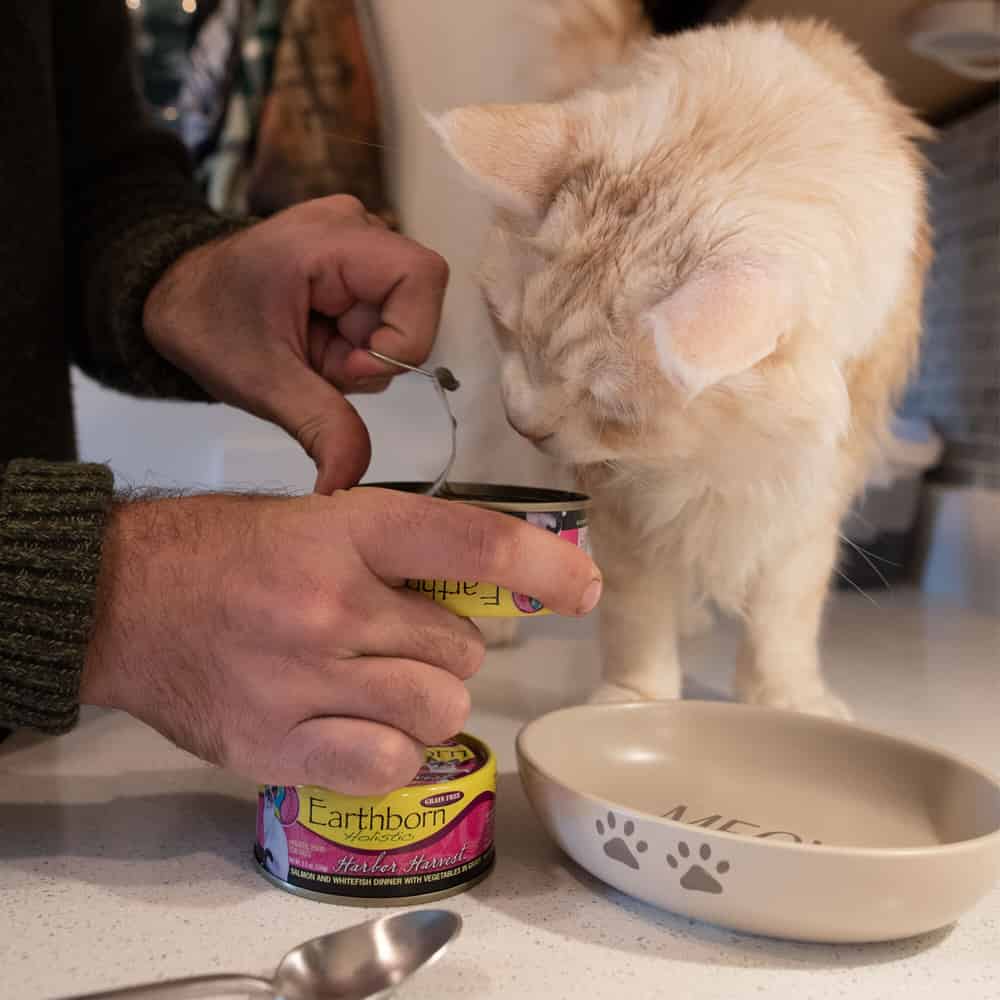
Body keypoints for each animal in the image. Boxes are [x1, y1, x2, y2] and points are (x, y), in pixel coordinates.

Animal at [433, 18, 931, 717]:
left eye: (616, 411)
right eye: (508, 330)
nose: (525, 423)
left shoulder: (808, 492)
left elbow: (784, 617)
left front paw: (786, 698)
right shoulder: (619, 498)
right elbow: (635, 610)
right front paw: (634, 701)